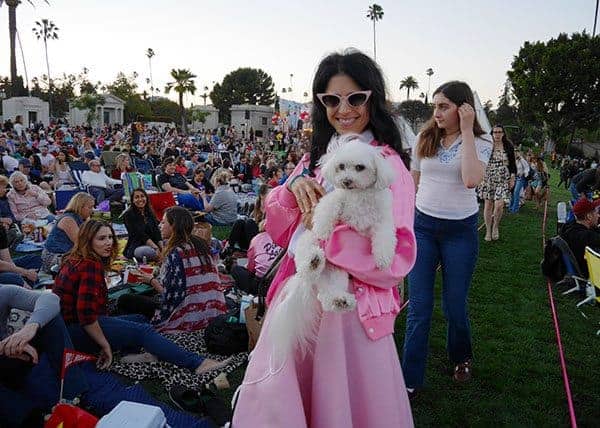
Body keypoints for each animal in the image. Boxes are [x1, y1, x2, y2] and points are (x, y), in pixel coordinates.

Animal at [270, 138, 396, 358]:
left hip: (337, 275)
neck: (359, 195)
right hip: (307, 241)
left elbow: (384, 238)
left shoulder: (383, 221)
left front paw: (383, 258)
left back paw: (341, 301)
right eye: (341, 166)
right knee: (305, 261)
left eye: (360, 167)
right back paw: (313, 261)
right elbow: (329, 207)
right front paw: (323, 228)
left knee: (327, 296)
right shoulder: (336, 199)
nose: (345, 181)